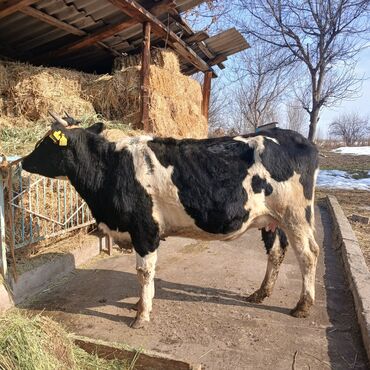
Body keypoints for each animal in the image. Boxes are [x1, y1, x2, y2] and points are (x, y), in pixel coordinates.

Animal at [21, 114, 320, 328]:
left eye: (44, 143)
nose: (23, 161)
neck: (109, 170)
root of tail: (297, 138)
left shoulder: (145, 229)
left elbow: (144, 272)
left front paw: (141, 315)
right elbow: (147, 273)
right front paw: (139, 304)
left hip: (296, 215)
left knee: (308, 254)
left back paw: (303, 306)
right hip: (273, 220)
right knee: (277, 252)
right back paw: (261, 293)